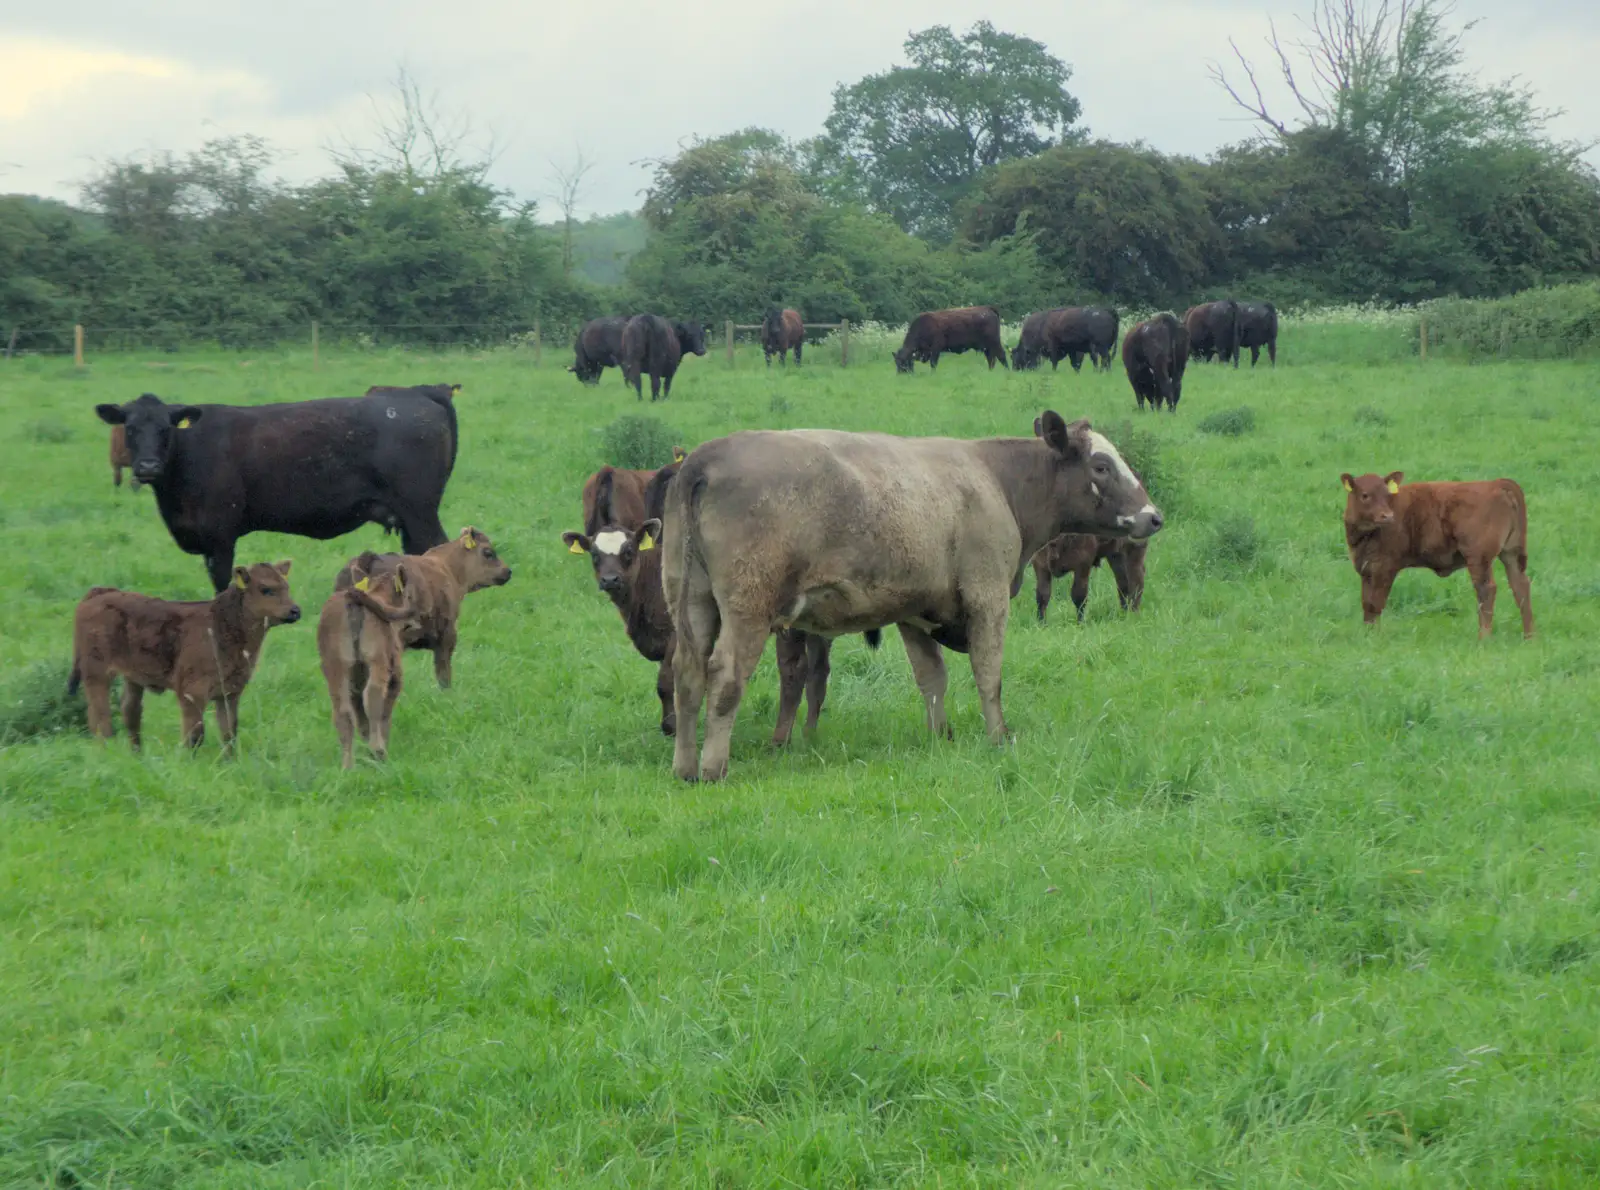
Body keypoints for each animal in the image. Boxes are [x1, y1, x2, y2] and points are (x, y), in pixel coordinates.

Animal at [67, 559, 302, 748]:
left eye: (286, 587)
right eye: (266, 589)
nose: (295, 611)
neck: (221, 625)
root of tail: (101, 593)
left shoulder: (230, 693)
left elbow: (229, 732)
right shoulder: (192, 693)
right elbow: (195, 734)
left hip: (133, 678)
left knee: (130, 712)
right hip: (96, 674)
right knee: (100, 717)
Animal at [95, 390, 457, 591]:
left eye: (164, 428)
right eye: (130, 428)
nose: (147, 467)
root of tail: (417, 396)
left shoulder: (220, 535)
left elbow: (223, 584)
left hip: (419, 510)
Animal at [1337, 470, 1536, 642]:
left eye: (1387, 495)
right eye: (1365, 495)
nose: (1387, 516)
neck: (1362, 538)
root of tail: (1496, 484)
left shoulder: (1384, 567)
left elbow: (1375, 603)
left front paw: (1374, 637)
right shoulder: (1366, 569)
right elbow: (1366, 603)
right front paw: (1367, 634)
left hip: (1479, 557)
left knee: (1486, 589)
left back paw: (1484, 637)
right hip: (1512, 552)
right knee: (1520, 586)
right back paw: (1529, 637)